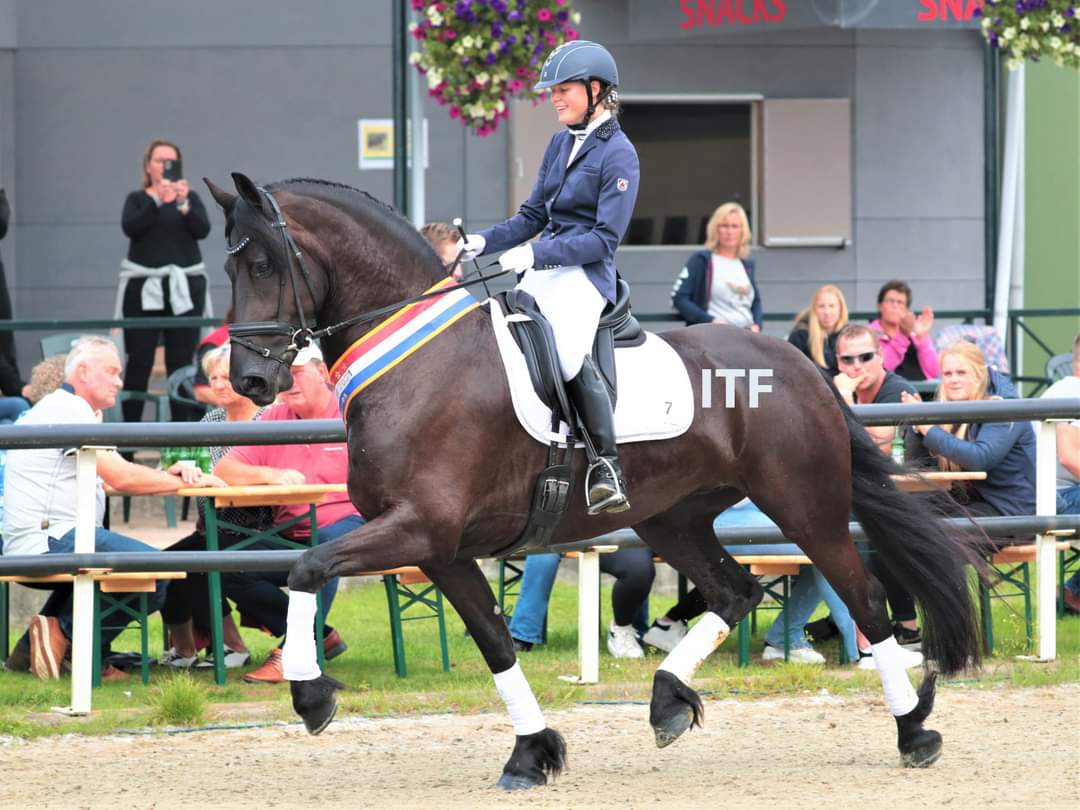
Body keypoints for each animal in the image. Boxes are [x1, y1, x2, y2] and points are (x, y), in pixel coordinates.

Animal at [206, 174, 984, 790]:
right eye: (230, 266)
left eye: (267, 263)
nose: (250, 382)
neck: (417, 360)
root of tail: (800, 364)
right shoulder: (440, 548)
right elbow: (492, 640)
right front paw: (532, 754)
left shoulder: (419, 526)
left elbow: (306, 567)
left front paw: (311, 696)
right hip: (673, 515)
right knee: (736, 590)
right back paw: (668, 700)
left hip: (804, 505)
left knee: (866, 599)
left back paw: (914, 731)